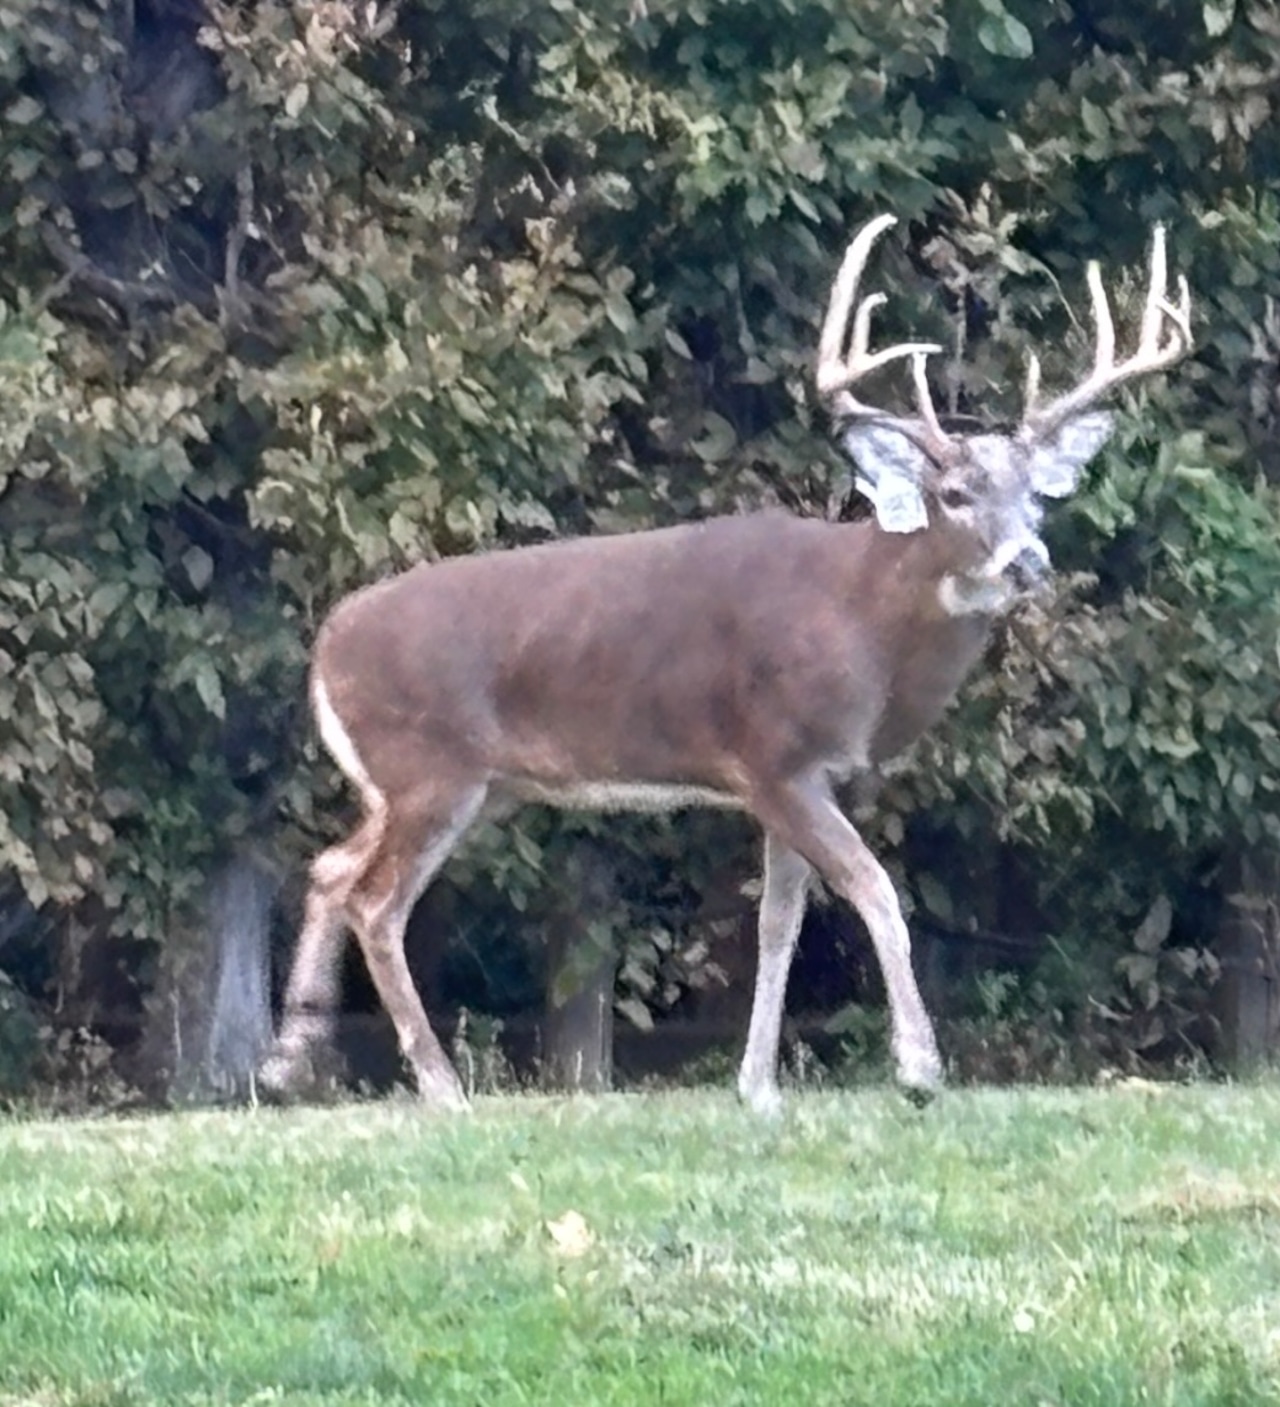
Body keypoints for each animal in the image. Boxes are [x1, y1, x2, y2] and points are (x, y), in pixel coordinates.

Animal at [260, 213, 1191, 1116]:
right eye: (954, 494)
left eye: (1037, 495)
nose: (1028, 561)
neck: (864, 624)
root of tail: (326, 644)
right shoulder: (779, 755)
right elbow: (875, 890)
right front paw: (919, 1068)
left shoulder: (797, 777)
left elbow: (779, 923)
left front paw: (757, 1085)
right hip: (431, 767)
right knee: (378, 901)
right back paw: (440, 1086)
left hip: (462, 783)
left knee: (332, 866)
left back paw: (287, 1061)